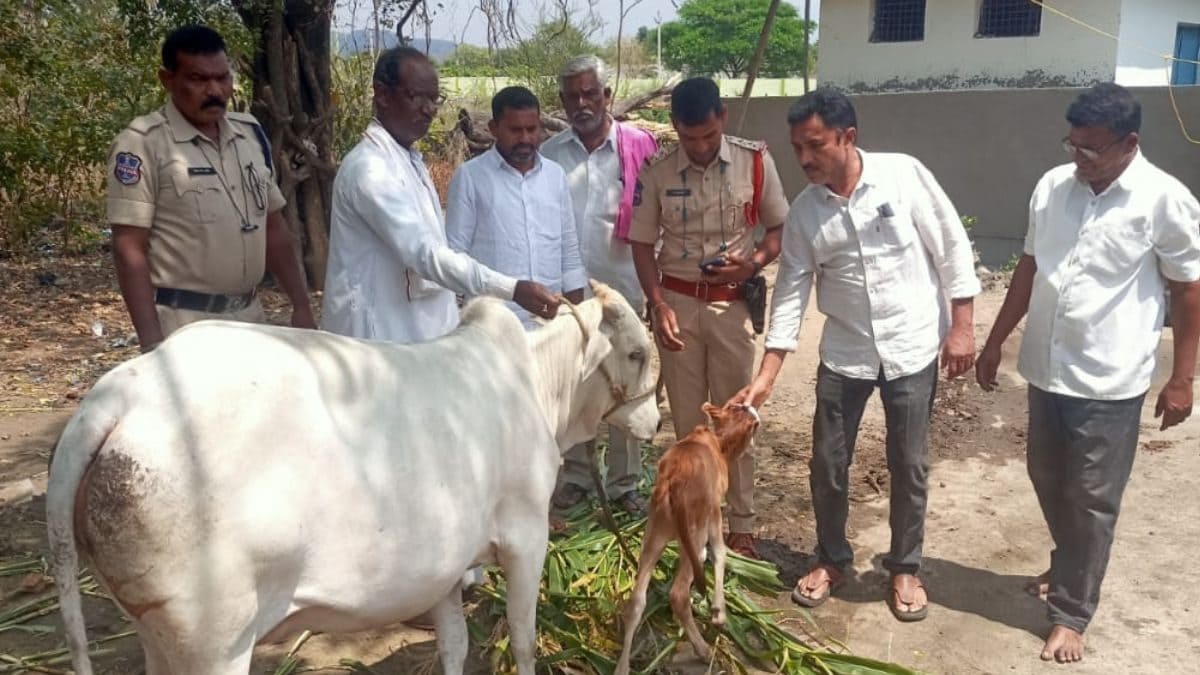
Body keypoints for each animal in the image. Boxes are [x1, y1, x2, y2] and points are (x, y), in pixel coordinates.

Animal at [49, 282, 657, 672]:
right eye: (635, 353)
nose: (654, 422)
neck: (536, 382)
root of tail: (123, 394)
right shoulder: (527, 538)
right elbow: (525, 642)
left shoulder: (444, 568)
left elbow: (454, 647)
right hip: (215, 644)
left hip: (157, 634)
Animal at [619, 396, 758, 667]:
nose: (748, 404)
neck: (719, 443)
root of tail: (673, 480)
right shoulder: (714, 511)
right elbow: (719, 553)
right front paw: (718, 613)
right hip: (693, 532)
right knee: (678, 593)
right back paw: (703, 649)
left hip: (655, 532)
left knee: (637, 600)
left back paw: (622, 667)